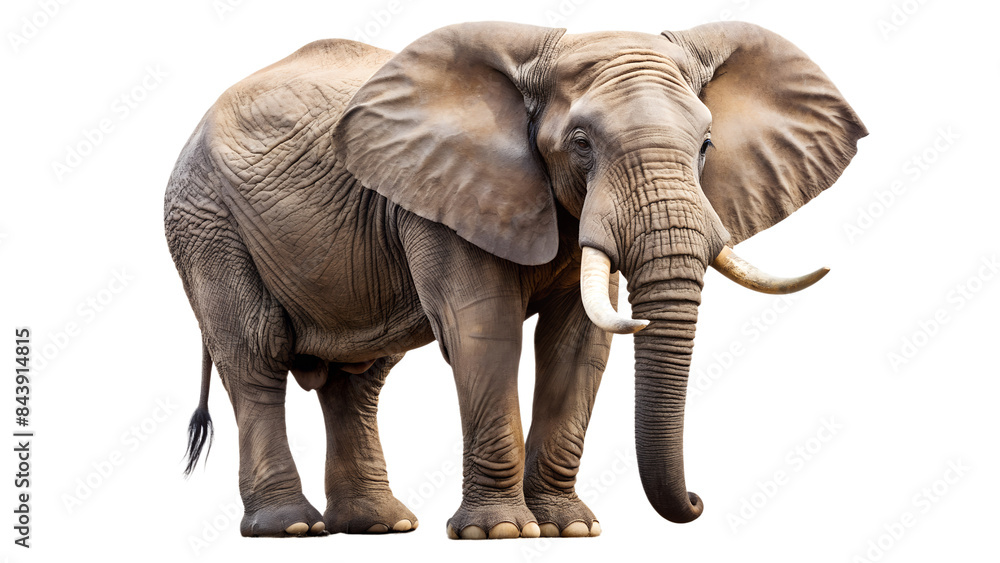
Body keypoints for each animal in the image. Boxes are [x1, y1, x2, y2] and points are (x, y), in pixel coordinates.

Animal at [164, 20, 865, 539]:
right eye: (580, 143)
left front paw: (568, 530)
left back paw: (381, 526)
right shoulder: (440, 196)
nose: (695, 501)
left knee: (360, 378)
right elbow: (483, 330)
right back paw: (289, 527)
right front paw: (500, 533)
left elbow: (580, 342)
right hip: (205, 221)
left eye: (706, 146)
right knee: (255, 354)